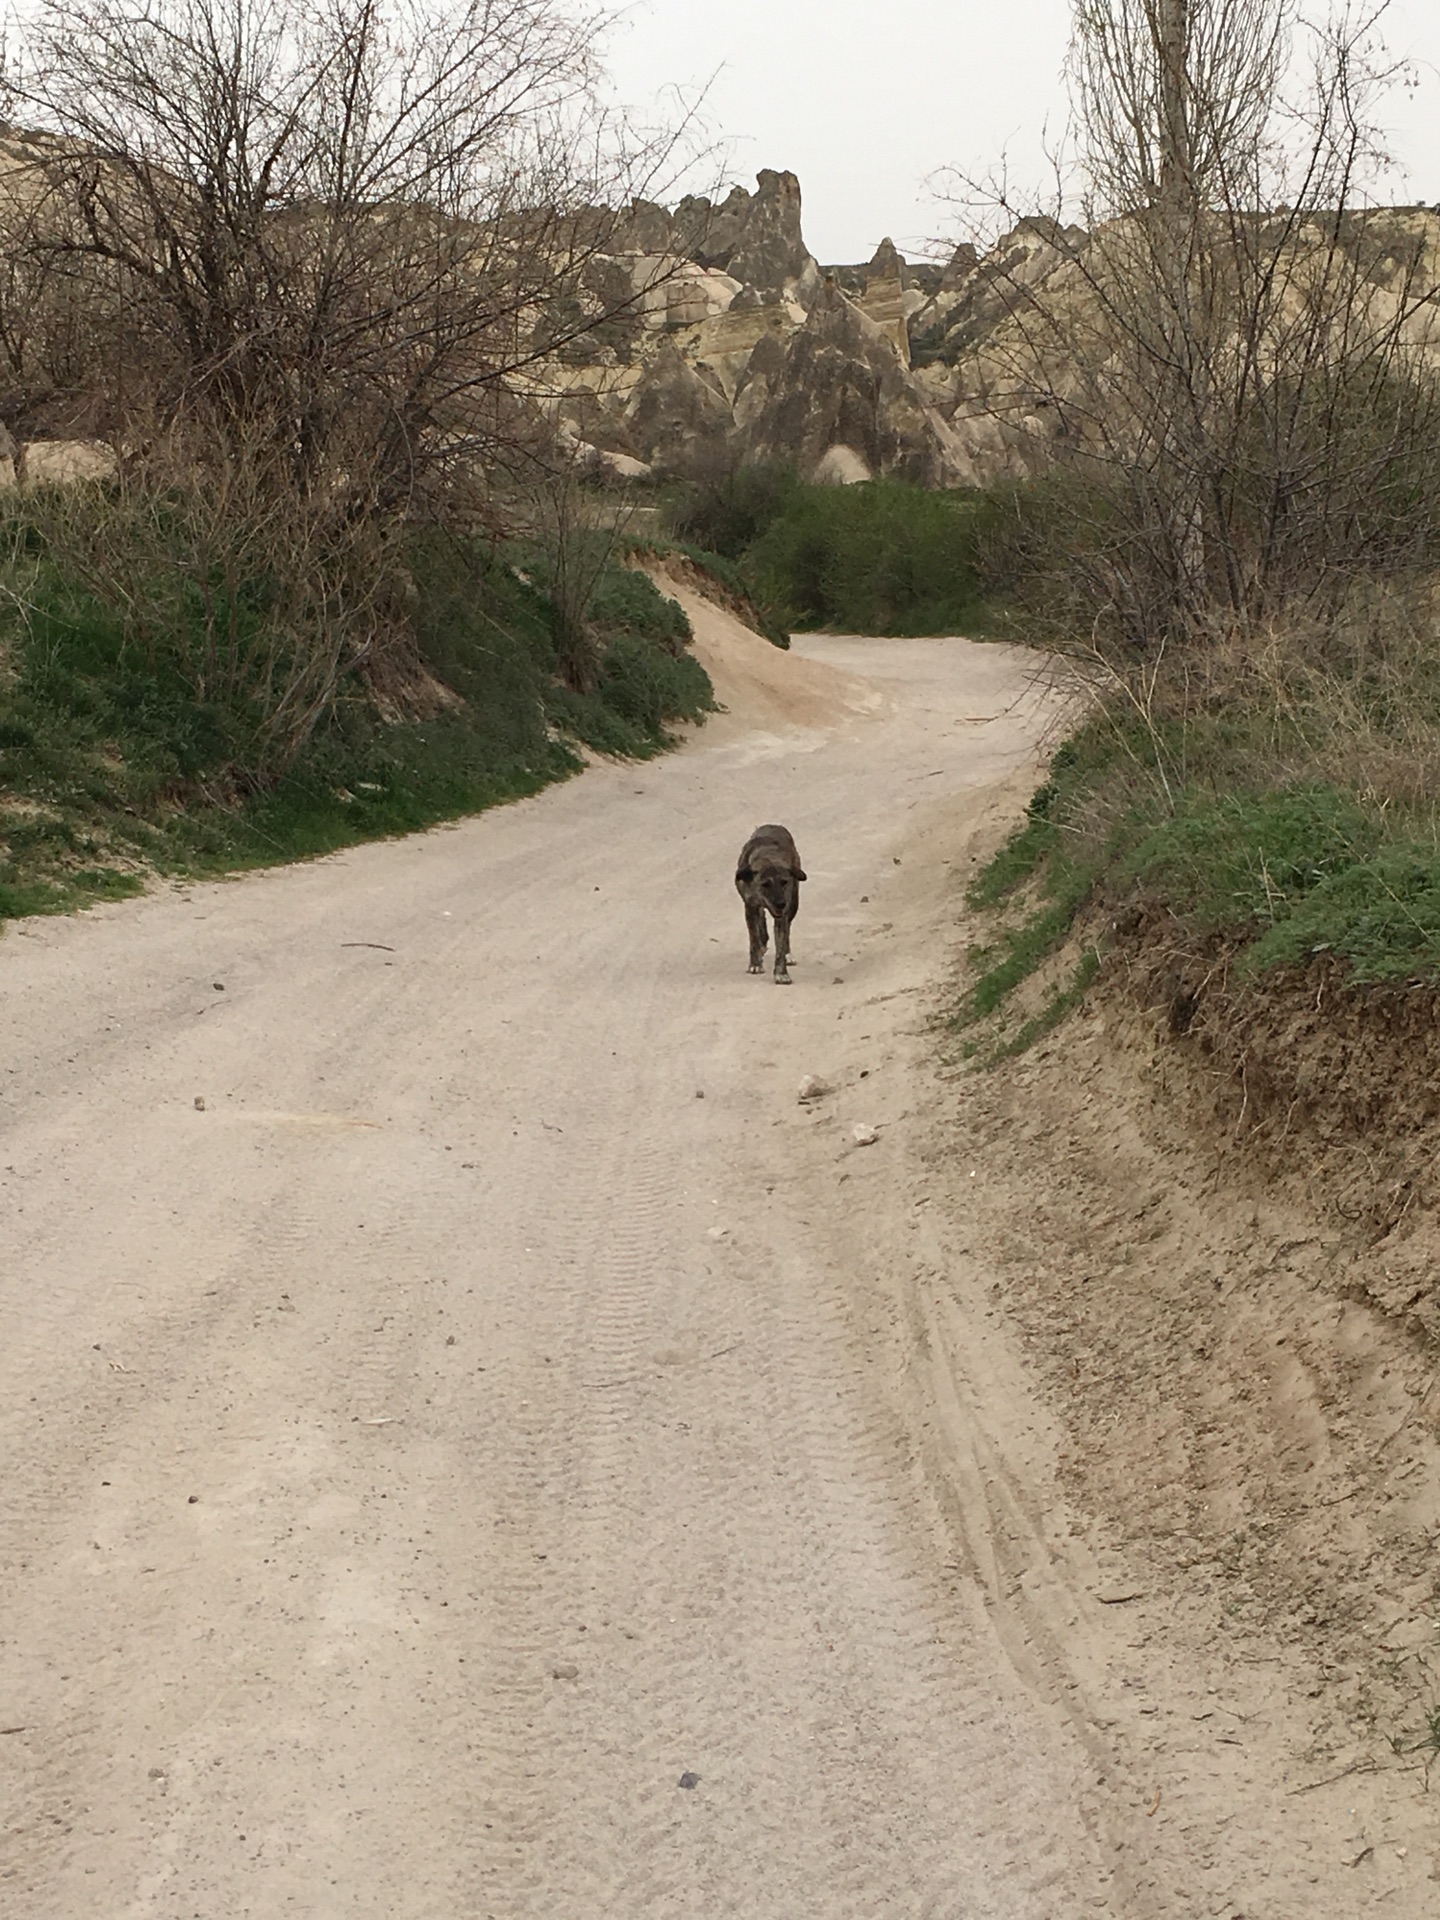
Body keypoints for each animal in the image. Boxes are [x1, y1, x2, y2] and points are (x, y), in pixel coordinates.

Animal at [737, 821, 806, 983]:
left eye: (784, 882)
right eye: (765, 884)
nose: (780, 903)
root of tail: (773, 825)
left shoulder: (783, 913)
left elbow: (781, 943)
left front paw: (781, 973)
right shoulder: (750, 906)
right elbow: (754, 938)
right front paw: (755, 964)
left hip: (794, 904)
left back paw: (787, 953)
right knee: (760, 920)